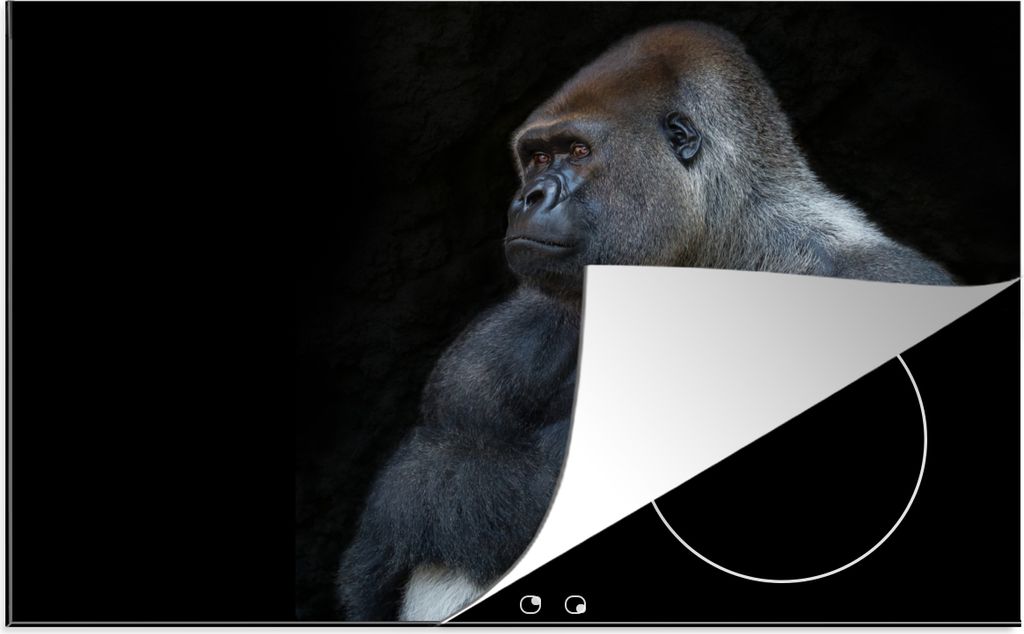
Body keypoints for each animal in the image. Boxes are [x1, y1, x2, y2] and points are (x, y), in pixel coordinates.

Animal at [336, 21, 954, 622]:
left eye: (577, 150)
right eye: (537, 157)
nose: (527, 197)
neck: (721, 247)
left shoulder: (885, 280)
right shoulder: (489, 352)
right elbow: (431, 480)